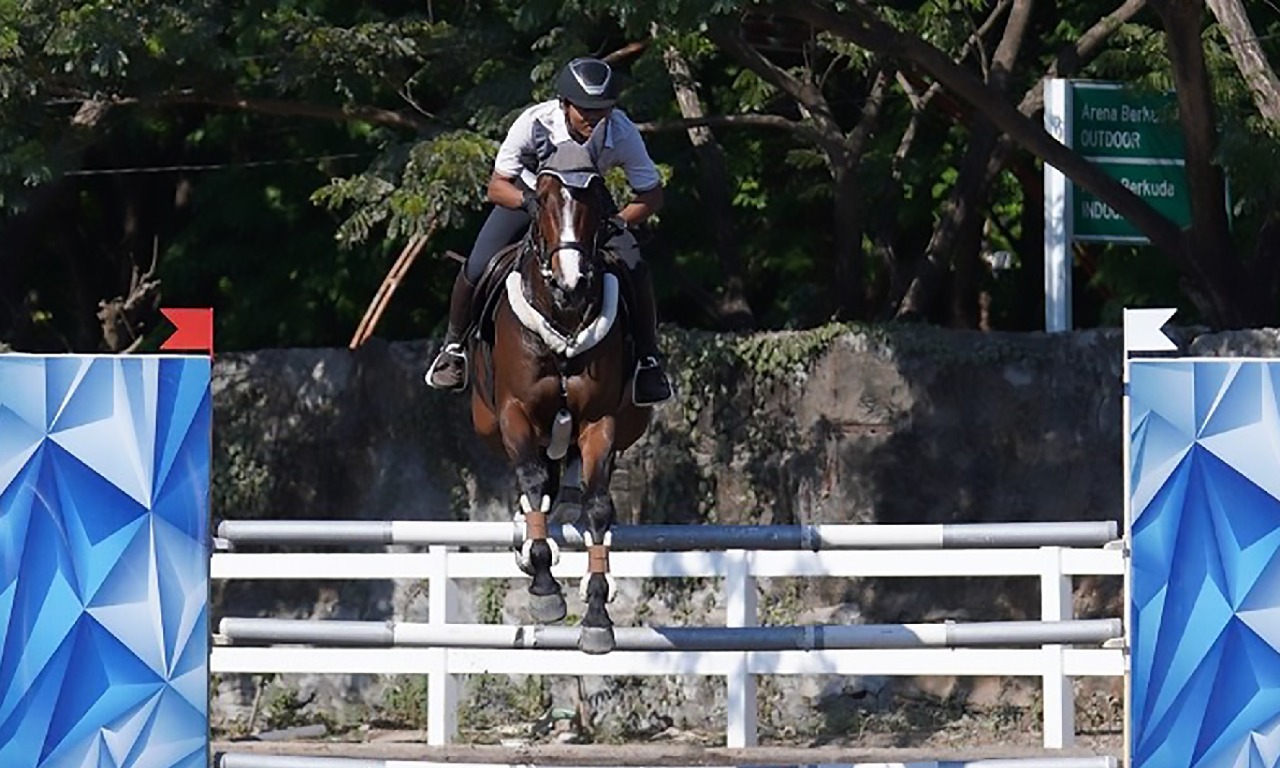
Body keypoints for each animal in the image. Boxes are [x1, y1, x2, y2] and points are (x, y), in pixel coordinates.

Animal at [468, 142, 650, 652]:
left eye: (595, 202)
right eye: (545, 200)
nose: (572, 284)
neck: (564, 316)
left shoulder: (599, 423)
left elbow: (598, 506)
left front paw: (597, 614)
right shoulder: (515, 413)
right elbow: (531, 481)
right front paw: (545, 588)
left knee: (559, 483)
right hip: (494, 424)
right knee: (536, 484)